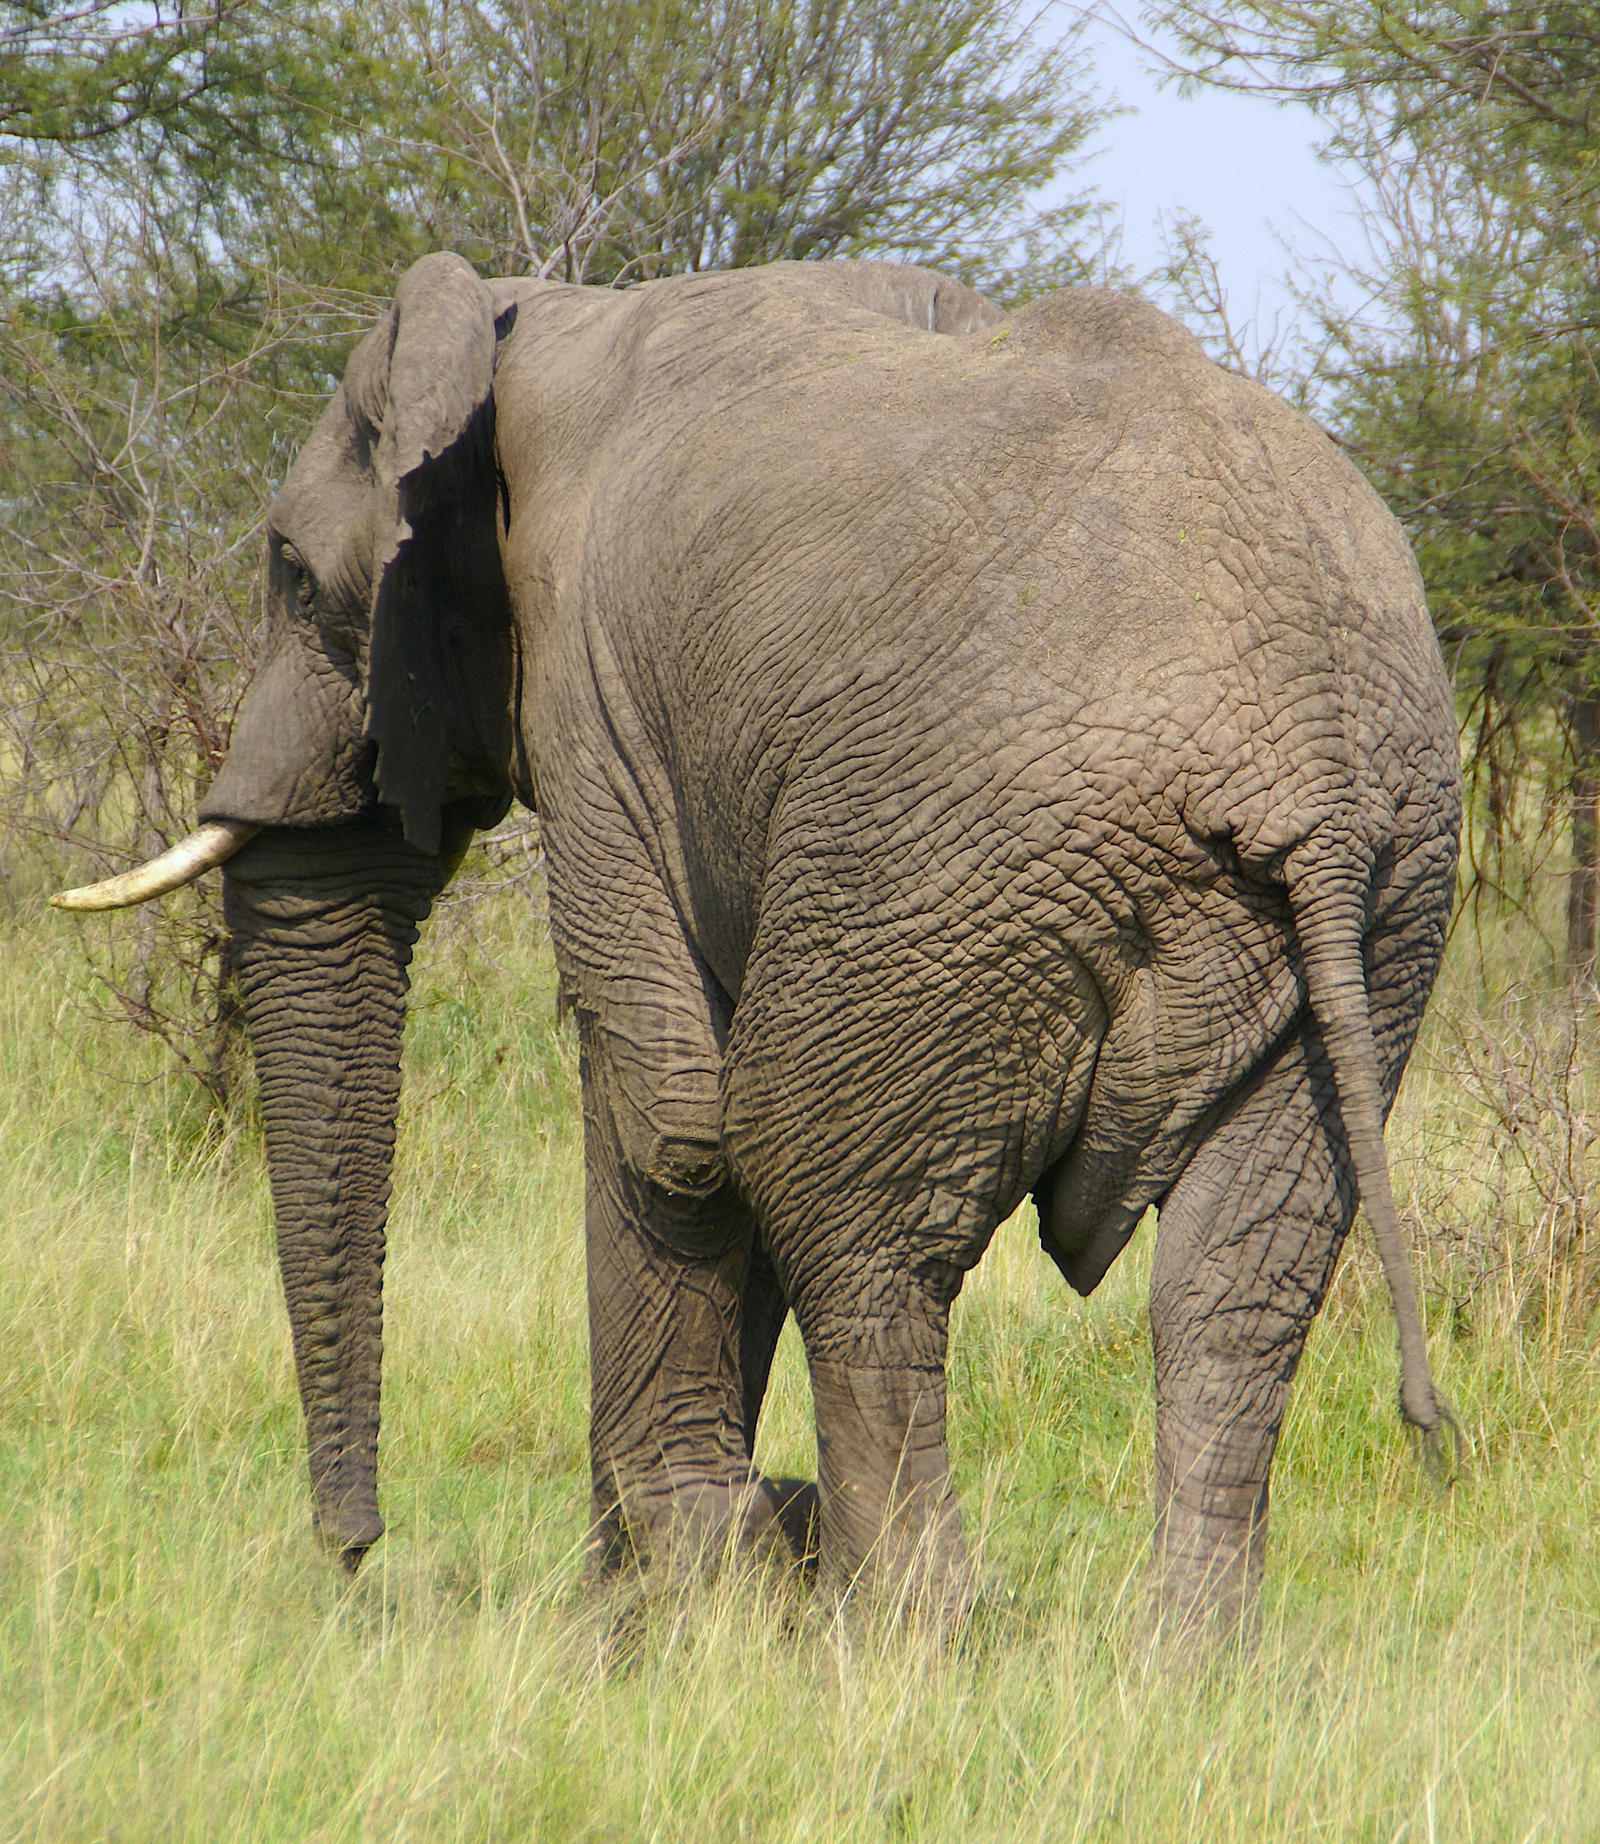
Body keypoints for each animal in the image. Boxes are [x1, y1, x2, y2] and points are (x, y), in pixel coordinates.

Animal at [55, 252, 1460, 1639]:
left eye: (294, 574)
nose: (352, 1555)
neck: (527, 321)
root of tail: (1306, 759)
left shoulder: (595, 709)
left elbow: (674, 1120)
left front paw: (681, 1589)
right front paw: (670, 1587)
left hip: (944, 867)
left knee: (845, 1207)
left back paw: (898, 1628)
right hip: (1384, 908)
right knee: (1235, 1278)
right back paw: (1181, 1657)